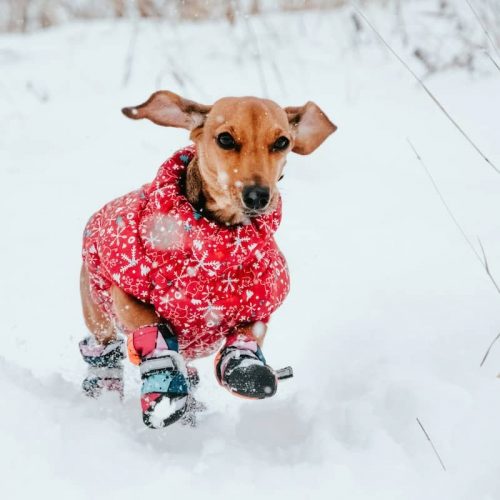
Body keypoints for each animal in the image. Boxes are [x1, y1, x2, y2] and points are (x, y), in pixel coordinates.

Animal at [79, 92, 336, 428]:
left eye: (282, 142)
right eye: (225, 138)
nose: (258, 195)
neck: (214, 252)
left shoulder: (261, 303)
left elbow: (248, 335)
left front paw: (245, 367)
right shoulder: (125, 291)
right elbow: (150, 324)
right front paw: (163, 379)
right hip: (98, 314)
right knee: (105, 352)